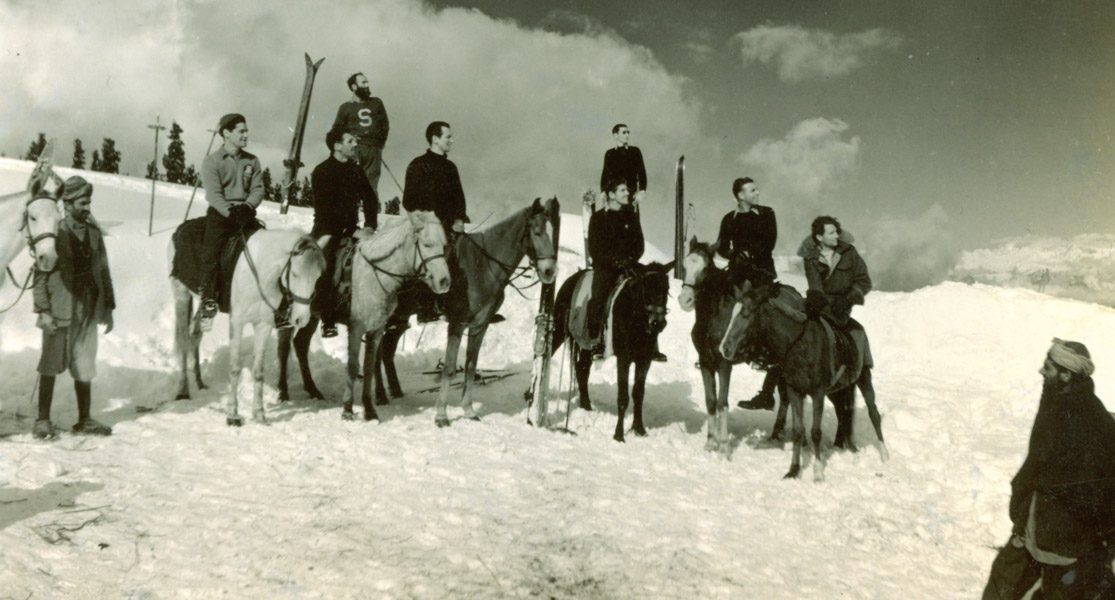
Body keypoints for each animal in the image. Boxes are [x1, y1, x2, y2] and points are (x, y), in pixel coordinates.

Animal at [167, 226, 327, 421]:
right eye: (295, 274)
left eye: (318, 277)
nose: (301, 319)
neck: (260, 271)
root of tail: (179, 230)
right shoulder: (237, 322)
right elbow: (235, 367)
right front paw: (232, 414)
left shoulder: (263, 326)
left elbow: (258, 371)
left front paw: (259, 414)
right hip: (181, 295)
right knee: (184, 342)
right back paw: (183, 391)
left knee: (195, 336)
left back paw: (200, 383)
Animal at [345, 209, 454, 419]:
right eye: (426, 244)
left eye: (444, 246)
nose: (444, 281)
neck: (374, 275)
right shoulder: (356, 327)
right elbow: (354, 366)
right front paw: (348, 409)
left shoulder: (377, 328)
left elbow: (369, 365)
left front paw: (369, 409)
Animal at [379, 196, 561, 426]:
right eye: (536, 231)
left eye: (553, 232)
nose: (549, 271)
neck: (483, 267)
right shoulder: (457, 324)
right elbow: (449, 368)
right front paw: (441, 415)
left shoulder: (479, 326)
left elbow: (471, 367)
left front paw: (468, 410)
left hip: (399, 319)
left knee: (385, 350)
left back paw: (393, 392)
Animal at [548, 258, 669, 441]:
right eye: (646, 288)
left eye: (667, 289)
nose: (658, 323)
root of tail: (573, 278)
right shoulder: (624, 359)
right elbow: (623, 397)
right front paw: (619, 435)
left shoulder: (644, 361)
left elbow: (639, 394)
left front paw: (639, 429)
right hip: (559, 331)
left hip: (587, 345)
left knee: (582, 369)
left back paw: (586, 405)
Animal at [713, 273, 887, 479]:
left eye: (746, 314)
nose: (724, 348)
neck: (799, 344)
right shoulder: (795, 391)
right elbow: (798, 430)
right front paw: (793, 470)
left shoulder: (818, 393)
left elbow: (815, 432)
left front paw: (818, 472)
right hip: (837, 390)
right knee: (843, 413)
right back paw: (843, 447)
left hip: (864, 377)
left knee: (873, 413)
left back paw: (884, 454)